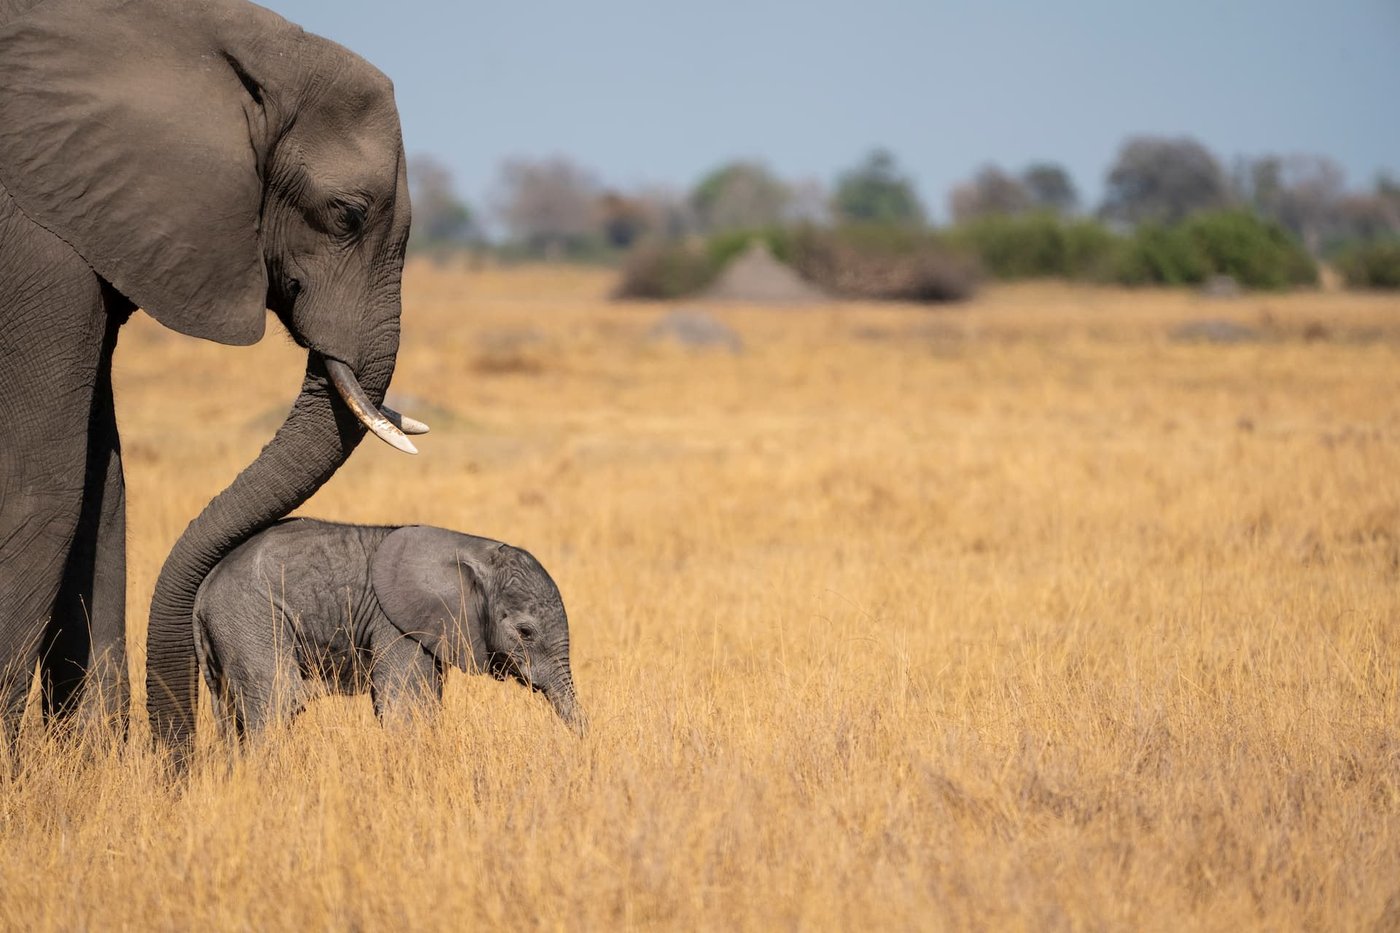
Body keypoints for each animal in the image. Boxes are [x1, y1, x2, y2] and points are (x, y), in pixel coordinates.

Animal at [0, 0, 428, 759]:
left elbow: (101, 481)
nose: (191, 755)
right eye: (347, 214)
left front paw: (92, 766)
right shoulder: (37, 247)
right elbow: (44, 480)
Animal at [192, 518, 584, 737]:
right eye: (526, 632)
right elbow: (405, 707)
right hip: (249, 615)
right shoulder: (395, 624)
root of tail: (203, 591)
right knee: (279, 700)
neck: (473, 549)